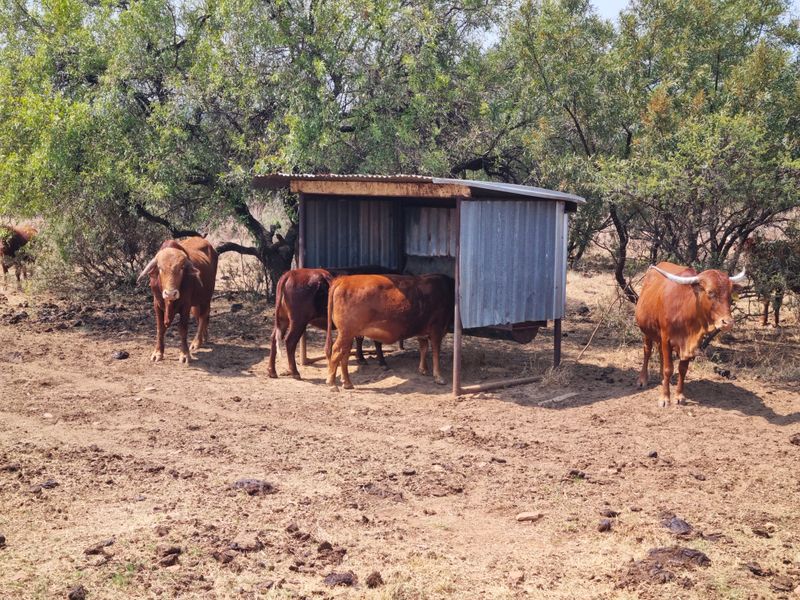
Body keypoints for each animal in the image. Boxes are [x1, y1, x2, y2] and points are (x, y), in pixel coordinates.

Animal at [267, 266, 398, 380]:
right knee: (290, 341)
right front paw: (382, 362)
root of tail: (290, 274)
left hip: (283, 319)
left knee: (274, 338)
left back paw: (272, 371)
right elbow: (377, 342)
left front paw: (361, 358)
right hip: (298, 321)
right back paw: (295, 372)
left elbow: (359, 339)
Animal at [325, 274, 454, 390]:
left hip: (348, 334)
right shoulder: (437, 329)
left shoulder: (422, 332)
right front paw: (439, 377)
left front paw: (423, 369)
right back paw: (332, 384)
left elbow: (424, 348)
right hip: (346, 332)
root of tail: (343, 279)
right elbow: (435, 353)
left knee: (344, 354)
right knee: (336, 351)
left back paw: (347, 383)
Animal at [635, 262, 746, 407]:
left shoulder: (688, 344)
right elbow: (668, 369)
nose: (728, 323)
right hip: (647, 331)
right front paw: (664, 398)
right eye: (710, 292)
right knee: (647, 351)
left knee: (660, 353)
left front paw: (679, 396)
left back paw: (662, 378)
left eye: (730, 294)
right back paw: (642, 379)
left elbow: (682, 369)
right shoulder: (667, 339)